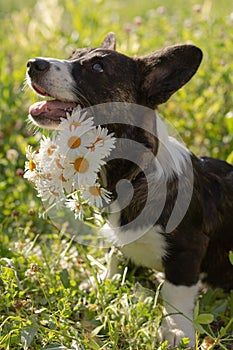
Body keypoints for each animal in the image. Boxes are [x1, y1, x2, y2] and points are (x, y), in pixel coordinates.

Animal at [26, 33, 232, 348]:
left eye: (97, 67)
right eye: (73, 55)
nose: (32, 64)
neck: (130, 175)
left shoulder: (188, 251)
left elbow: (176, 293)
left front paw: (176, 331)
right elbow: (113, 256)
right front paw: (103, 282)